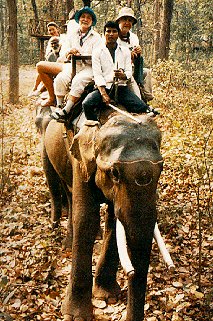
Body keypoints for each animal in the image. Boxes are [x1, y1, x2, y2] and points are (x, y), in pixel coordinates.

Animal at [36, 107, 163, 320]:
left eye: (161, 169)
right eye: (115, 173)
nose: (130, 272)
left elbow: (114, 221)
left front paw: (108, 296)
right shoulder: (80, 160)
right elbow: (86, 218)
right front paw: (75, 315)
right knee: (64, 191)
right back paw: (63, 238)